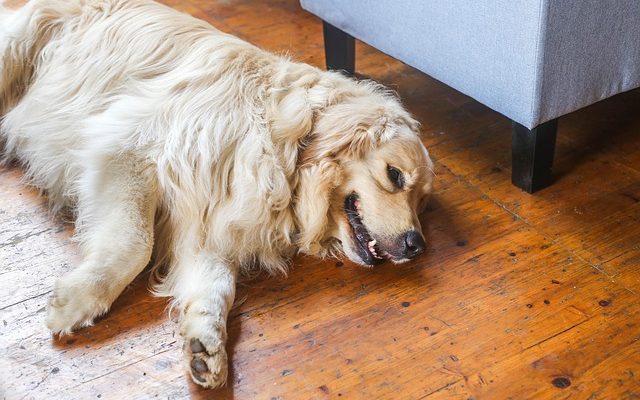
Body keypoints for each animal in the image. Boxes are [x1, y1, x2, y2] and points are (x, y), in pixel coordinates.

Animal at [0, 0, 432, 388]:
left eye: (421, 201)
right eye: (395, 176)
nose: (417, 246)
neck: (286, 142)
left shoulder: (211, 222)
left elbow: (217, 287)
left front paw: (205, 347)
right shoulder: (128, 148)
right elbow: (134, 244)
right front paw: (78, 299)